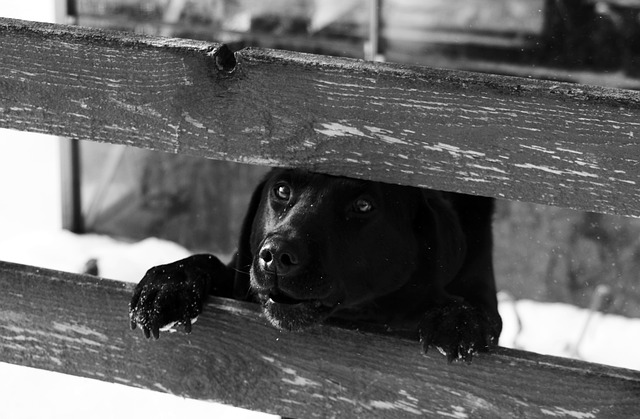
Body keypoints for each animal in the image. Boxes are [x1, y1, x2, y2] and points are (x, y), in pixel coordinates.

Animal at [129, 169, 500, 362]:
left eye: (363, 205)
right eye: (281, 190)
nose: (276, 255)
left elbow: (477, 311)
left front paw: (456, 319)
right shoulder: (240, 276)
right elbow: (208, 261)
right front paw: (167, 285)